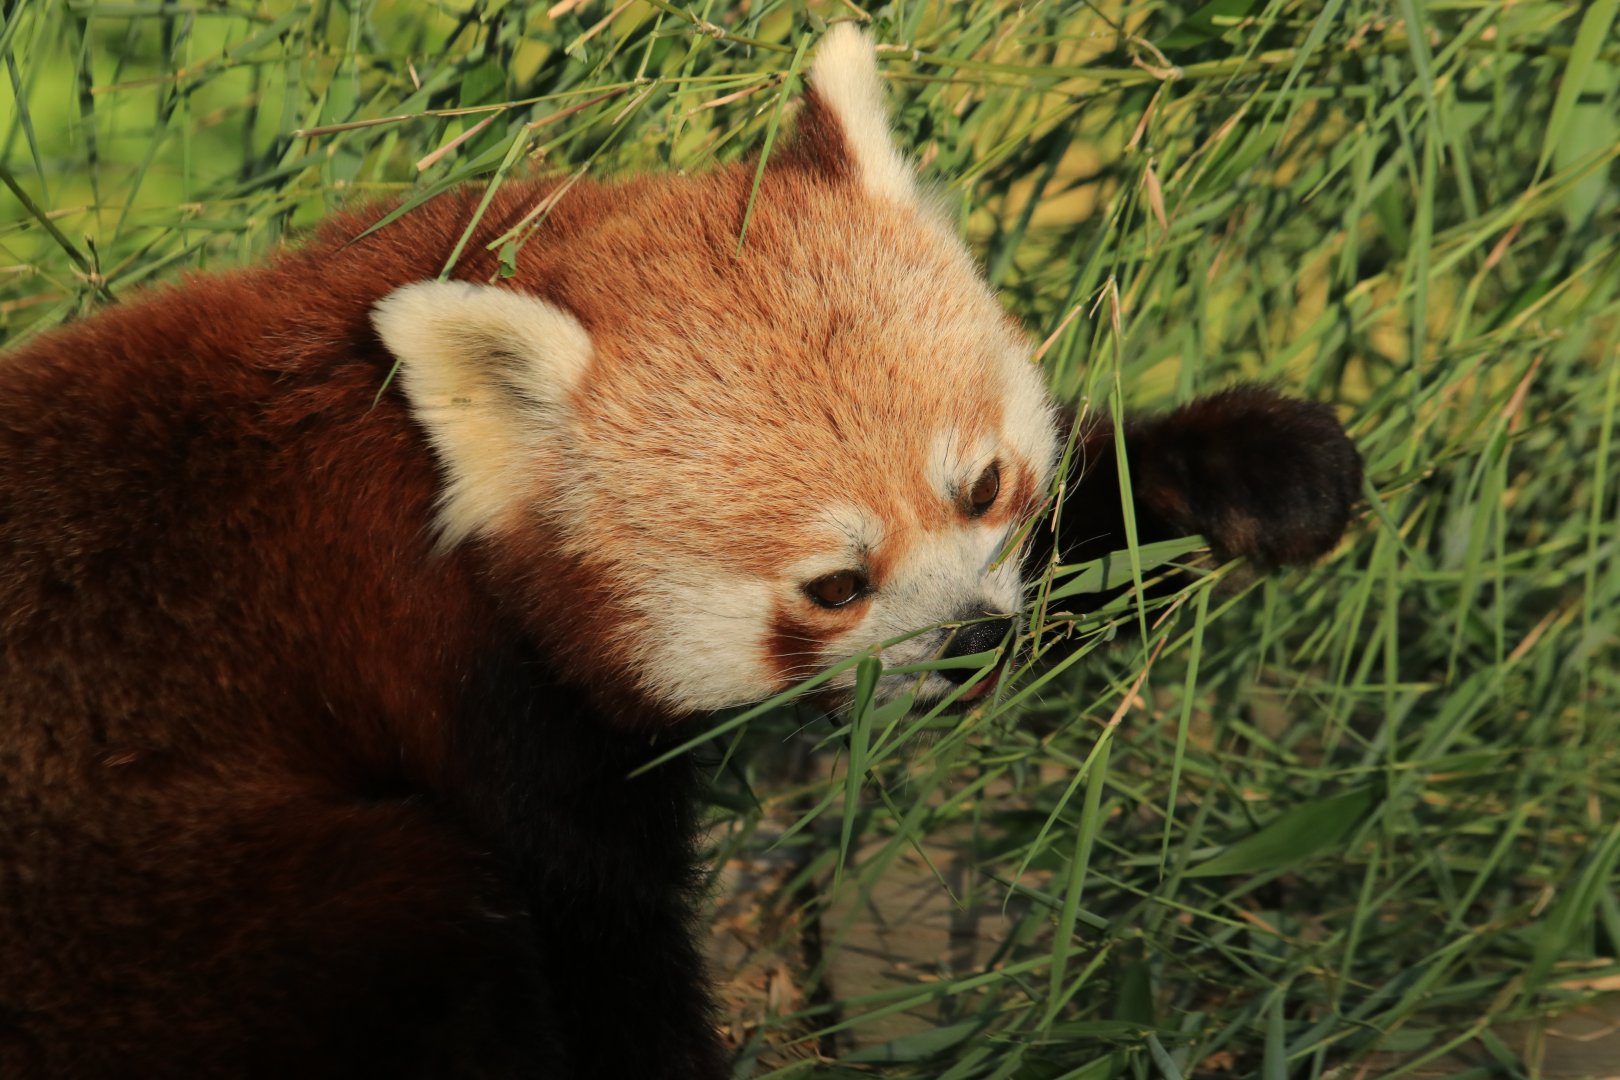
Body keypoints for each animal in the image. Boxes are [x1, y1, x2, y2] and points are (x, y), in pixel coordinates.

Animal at [0, 25, 1359, 1080]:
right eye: (833, 586)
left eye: (982, 485)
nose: (977, 647)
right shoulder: (473, 693)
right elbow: (599, 933)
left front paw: (1253, 469)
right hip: (192, 904)